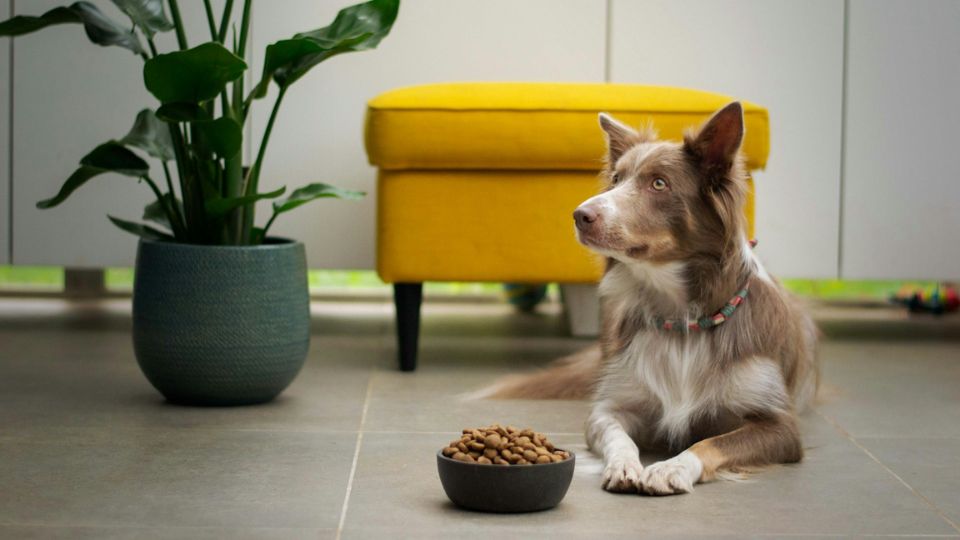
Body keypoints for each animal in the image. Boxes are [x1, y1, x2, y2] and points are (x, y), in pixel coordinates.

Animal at [484, 103, 820, 496]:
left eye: (659, 183)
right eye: (616, 179)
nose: (579, 215)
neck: (683, 319)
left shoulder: (780, 426)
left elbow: (708, 442)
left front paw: (671, 467)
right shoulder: (610, 406)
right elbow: (618, 436)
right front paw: (625, 465)